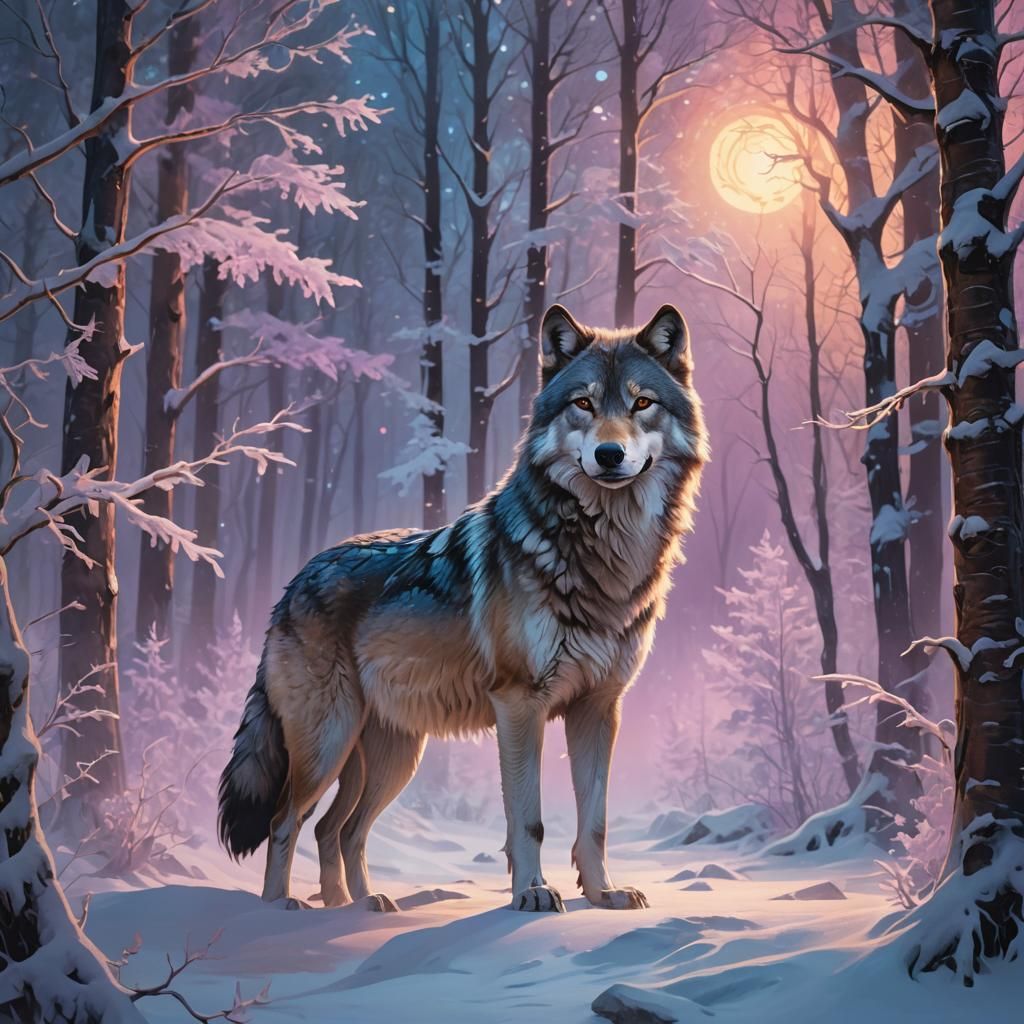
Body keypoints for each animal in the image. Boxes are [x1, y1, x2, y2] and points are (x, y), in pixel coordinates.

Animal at [218, 302, 708, 913]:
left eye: (642, 403)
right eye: (584, 404)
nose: (609, 454)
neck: (603, 554)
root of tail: (291, 585)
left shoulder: (599, 708)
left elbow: (594, 823)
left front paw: (603, 895)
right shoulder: (520, 704)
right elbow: (529, 821)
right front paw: (534, 893)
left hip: (393, 757)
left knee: (338, 829)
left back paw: (356, 906)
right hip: (330, 741)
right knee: (286, 821)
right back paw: (281, 909)